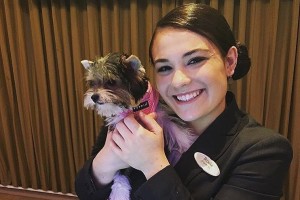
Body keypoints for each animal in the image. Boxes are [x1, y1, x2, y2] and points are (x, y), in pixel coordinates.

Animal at [82, 52, 193, 200]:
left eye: (111, 82)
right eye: (92, 83)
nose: (94, 96)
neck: (137, 107)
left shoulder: (161, 114)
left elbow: (177, 130)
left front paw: (188, 143)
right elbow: (120, 175)